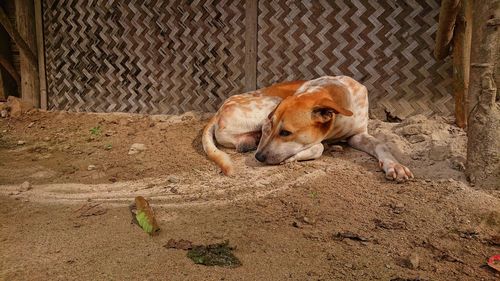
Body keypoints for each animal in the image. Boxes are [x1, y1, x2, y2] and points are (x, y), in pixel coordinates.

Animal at [201, 75, 412, 180]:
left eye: (286, 132)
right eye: (271, 127)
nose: (258, 157)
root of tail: (217, 112)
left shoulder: (358, 135)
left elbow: (381, 144)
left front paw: (395, 165)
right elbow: (318, 147)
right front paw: (295, 156)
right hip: (272, 101)